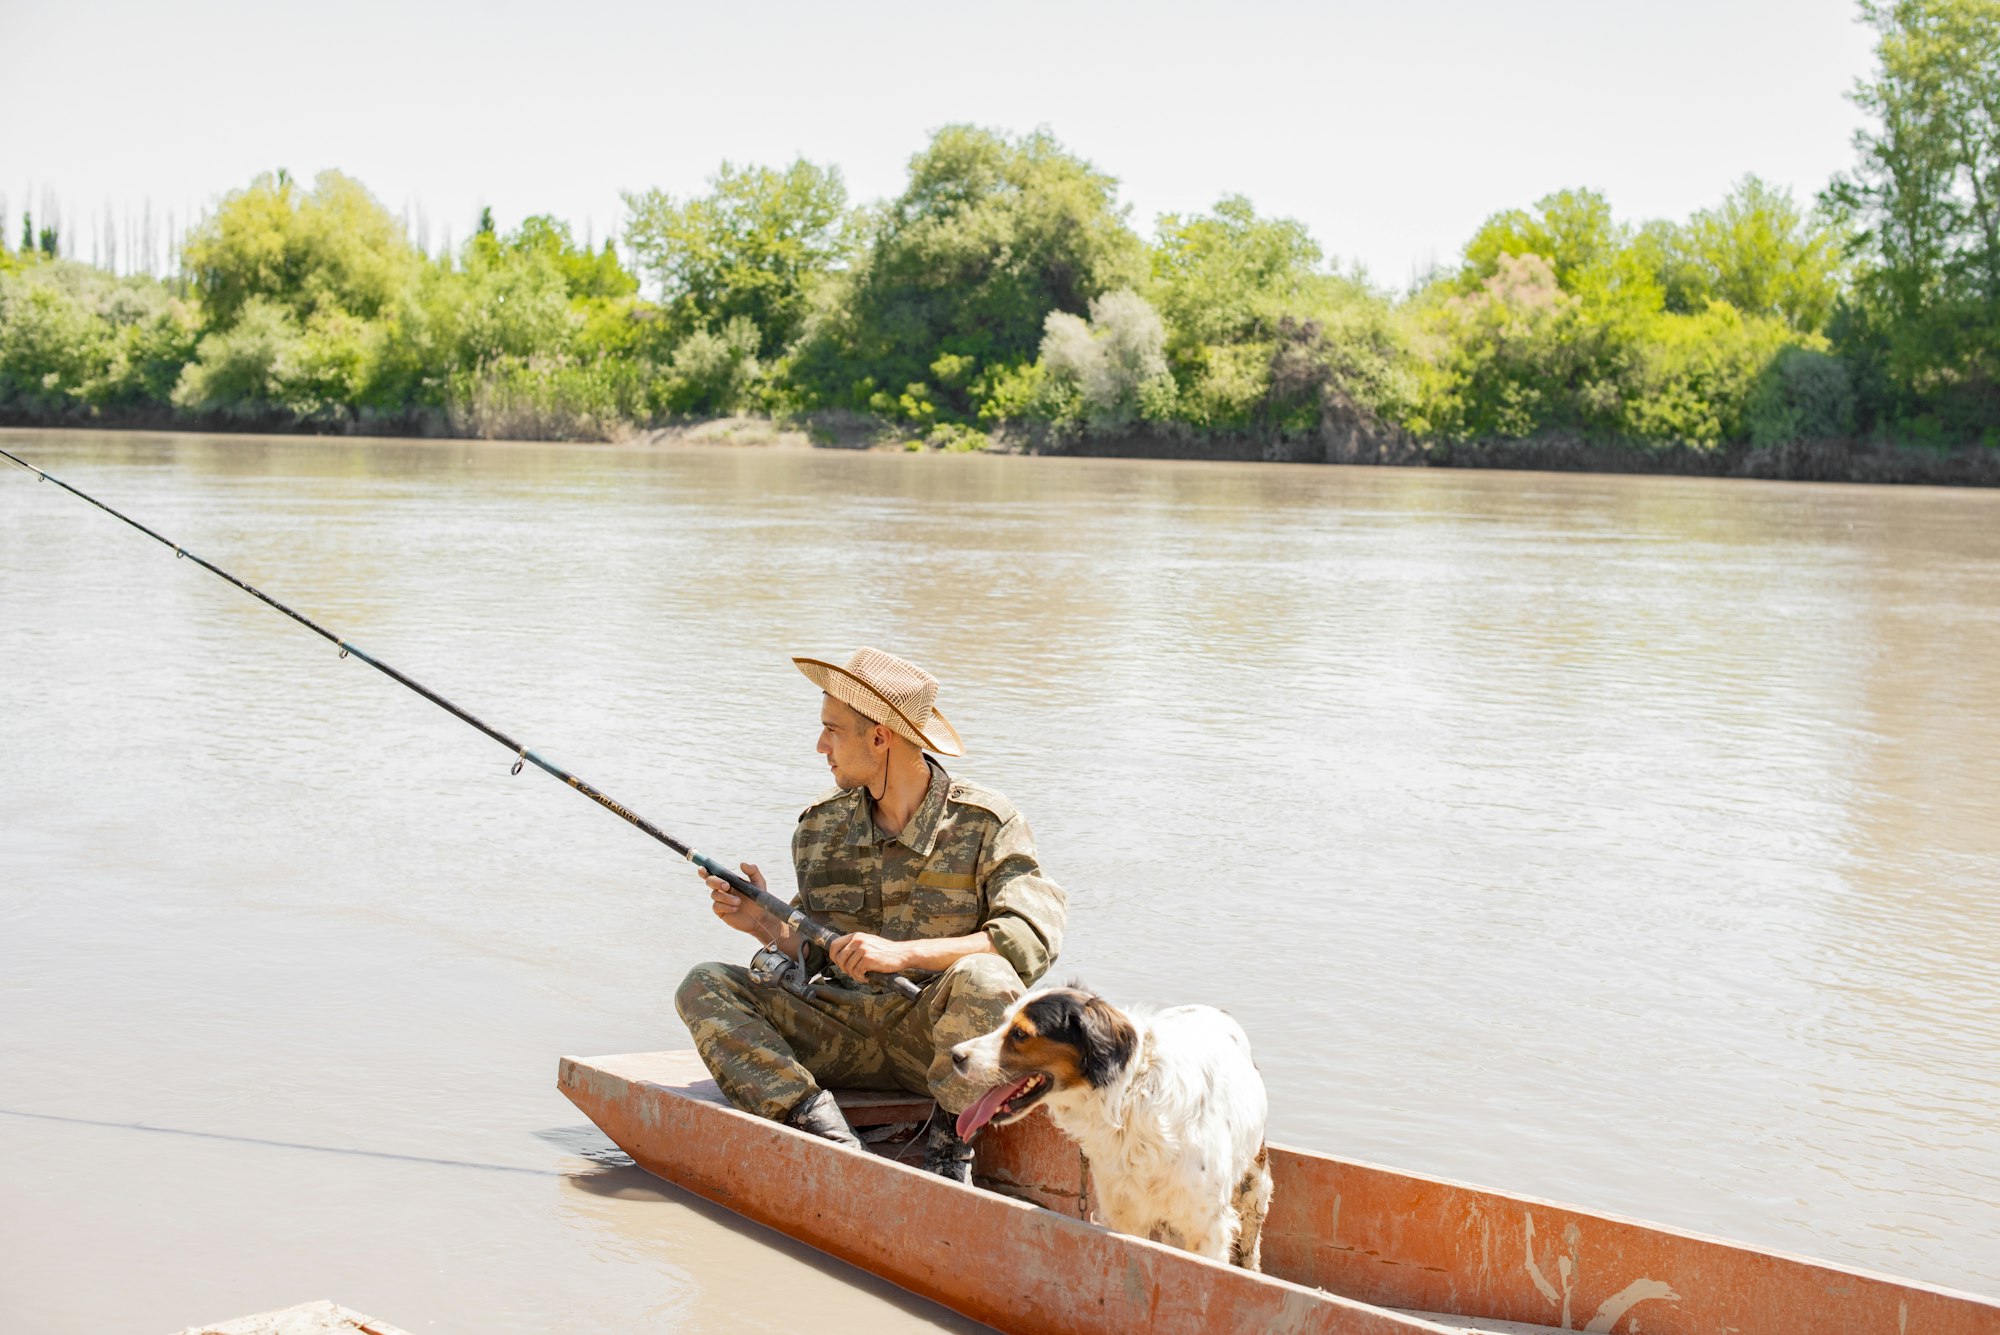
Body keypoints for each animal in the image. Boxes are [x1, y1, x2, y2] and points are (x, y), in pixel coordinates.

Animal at [948, 987, 1264, 1271]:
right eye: (1003, 1022)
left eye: (1020, 1034)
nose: (955, 1055)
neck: (1130, 1098)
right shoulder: (1124, 1213)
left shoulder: (1206, 1227)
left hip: (1255, 1187)